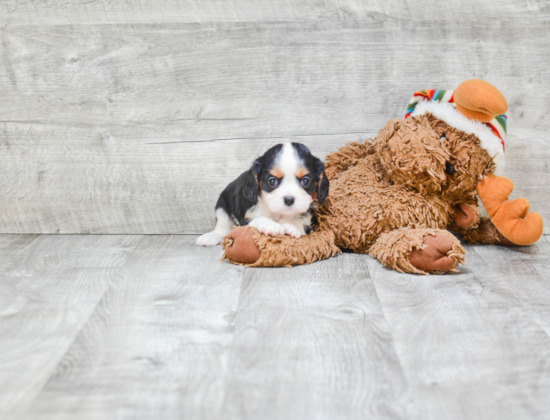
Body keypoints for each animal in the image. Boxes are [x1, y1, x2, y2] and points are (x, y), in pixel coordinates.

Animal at [196, 143, 330, 246]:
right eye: (272, 181)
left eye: (305, 181)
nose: (289, 200)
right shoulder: (245, 217)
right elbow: (258, 218)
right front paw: (271, 225)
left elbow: (301, 219)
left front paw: (293, 225)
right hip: (222, 206)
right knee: (222, 228)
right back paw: (210, 237)